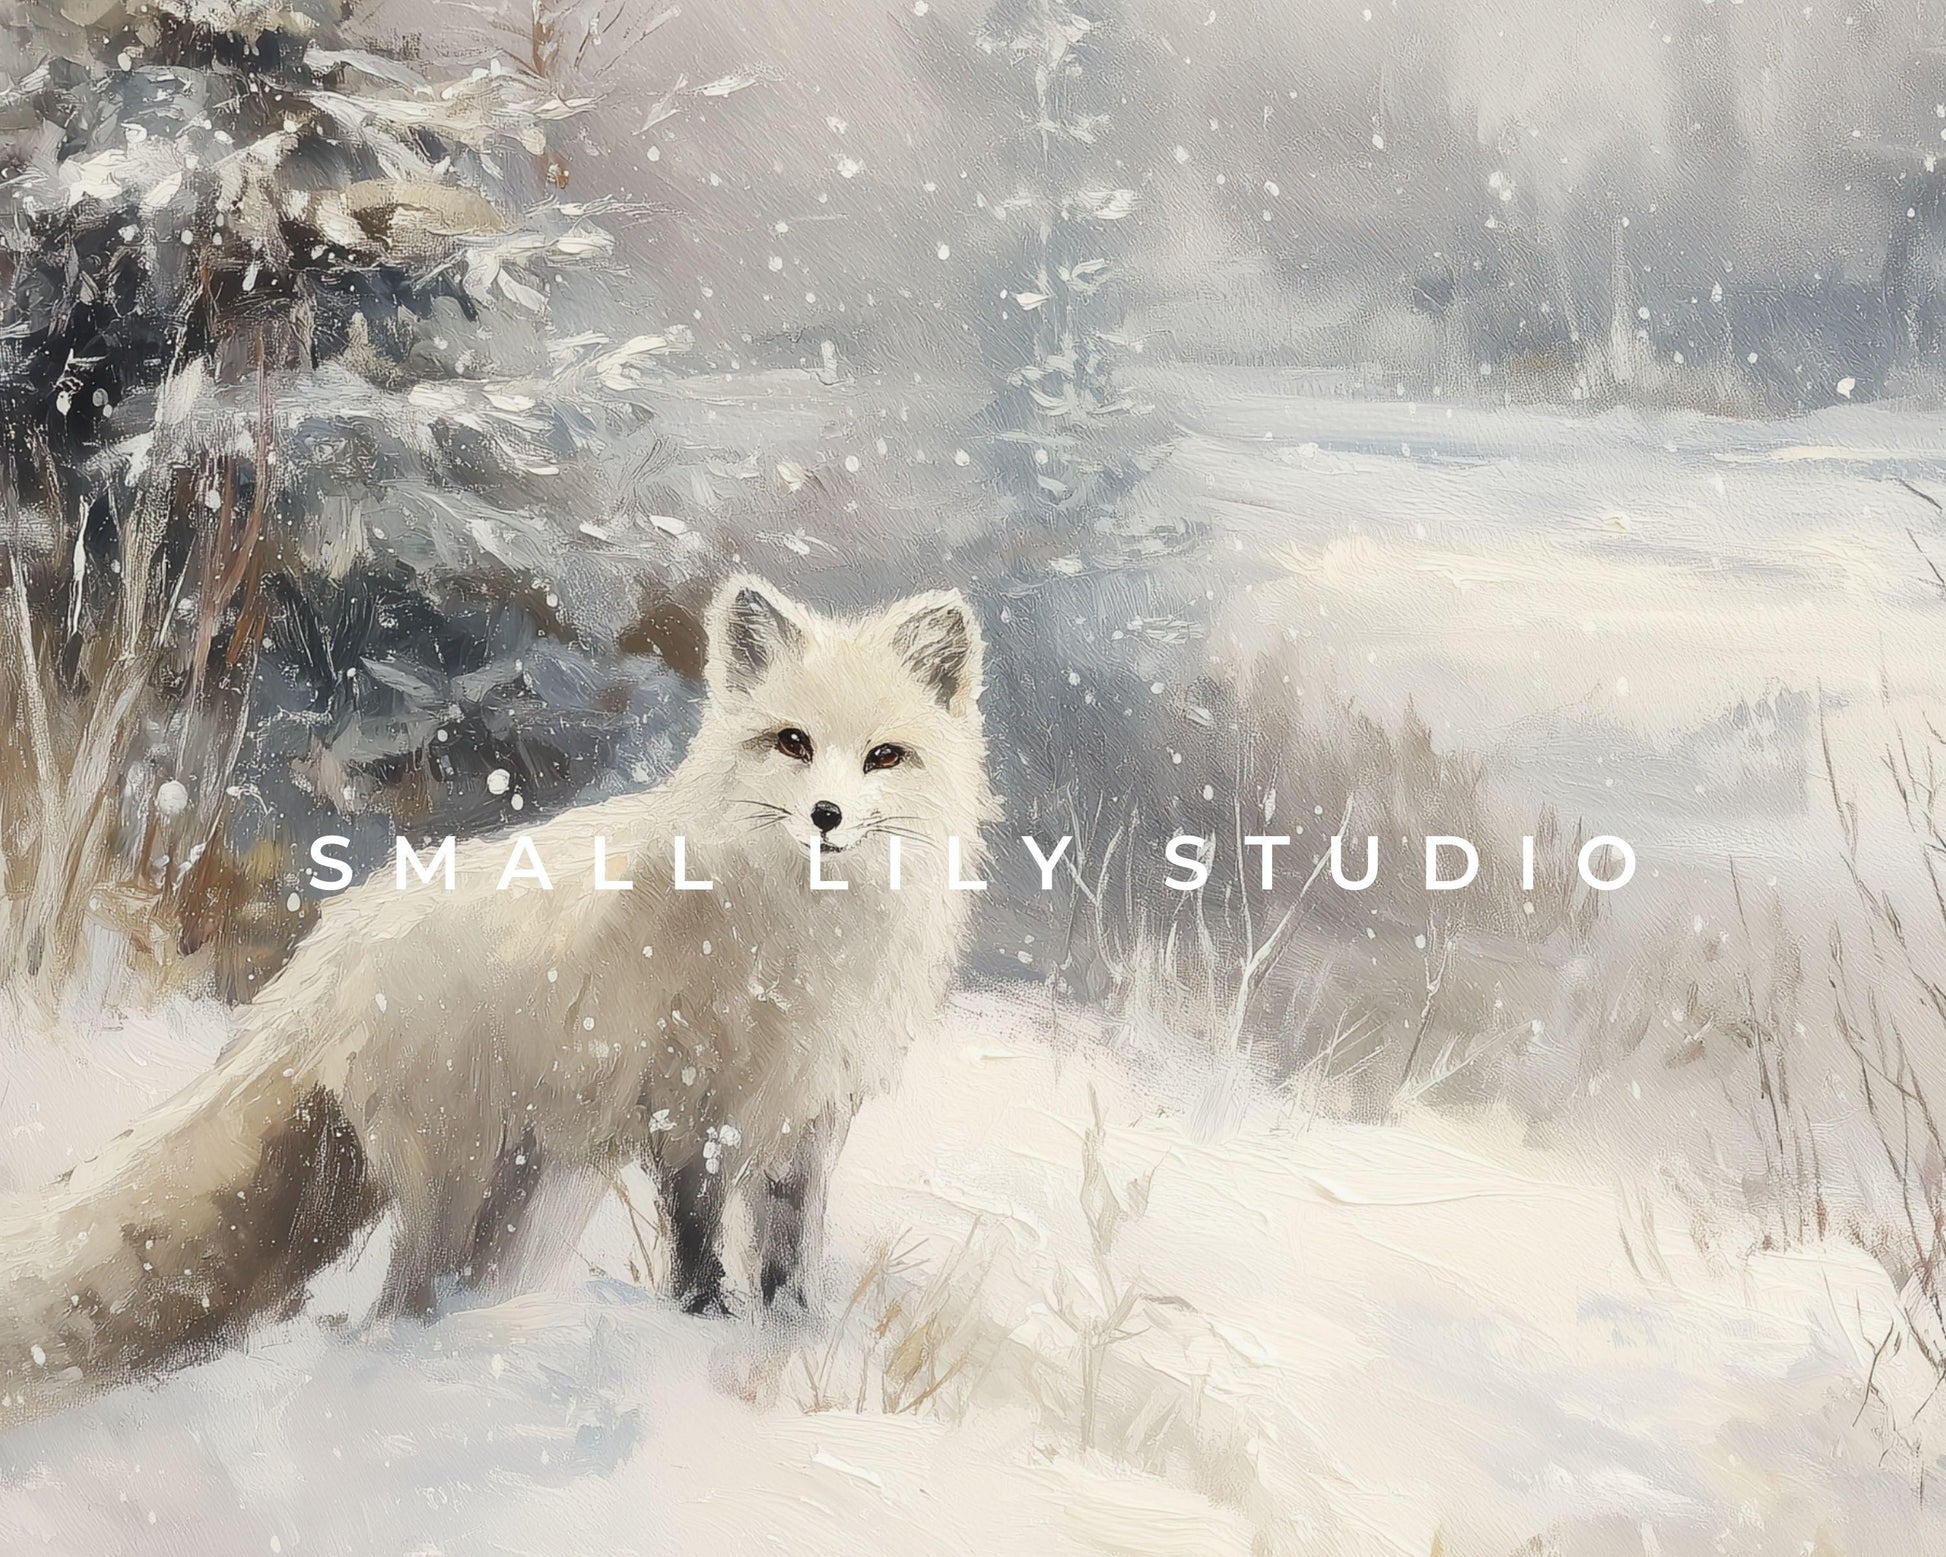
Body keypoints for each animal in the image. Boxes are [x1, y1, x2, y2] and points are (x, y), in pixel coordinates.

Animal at [0, 576, 994, 1426]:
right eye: (792, 742)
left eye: (884, 756)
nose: (828, 815)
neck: (800, 936)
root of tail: (326, 949)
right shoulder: (689, 1109)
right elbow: (699, 1244)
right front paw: (703, 1329)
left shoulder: (805, 1114)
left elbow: (789, 1258)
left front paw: (791, 1338)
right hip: (457, 1181)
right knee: (398, 1305)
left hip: (521, 1199)